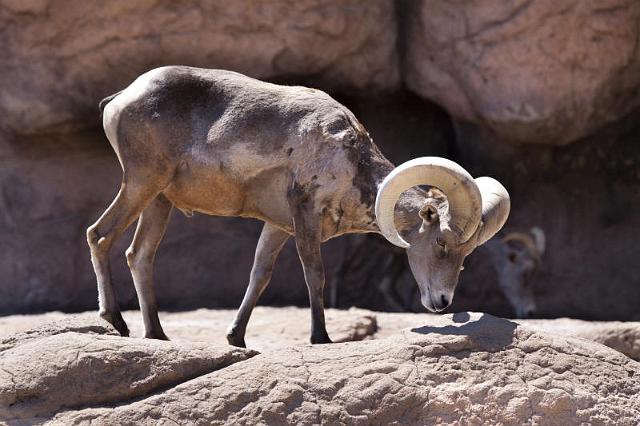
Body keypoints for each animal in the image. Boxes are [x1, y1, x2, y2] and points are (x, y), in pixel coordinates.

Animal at [89, 66, 510, 346]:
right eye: (441, 243)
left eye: (467, 255)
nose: (442, 302)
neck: (349, 158)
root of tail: (119, 100)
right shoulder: (305, 216)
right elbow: (314, 275)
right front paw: (321, 338)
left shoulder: (277, 226)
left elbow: (259, 276)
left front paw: (236, 338)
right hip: (142, 183)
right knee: (100, 236)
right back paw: (117, 323)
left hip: (159, 201)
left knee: (139, 255)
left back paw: (156, 334)